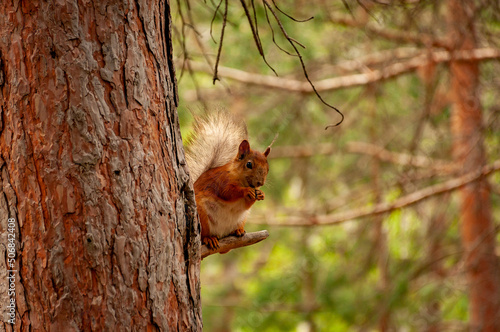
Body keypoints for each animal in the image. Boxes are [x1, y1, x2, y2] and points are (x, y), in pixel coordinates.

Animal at [185, 111, 272, 249]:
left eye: (267, 168)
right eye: (249, 164)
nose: (260, 183)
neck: (241, 179)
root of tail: (220, 233)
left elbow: (246, 204)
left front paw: (261, 194)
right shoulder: (220, 181)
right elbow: (227, 192)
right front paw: (246, 191)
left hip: (242, 218)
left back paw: (238, 230)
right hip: (201, 215)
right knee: (204, 235)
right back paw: (209, 238)